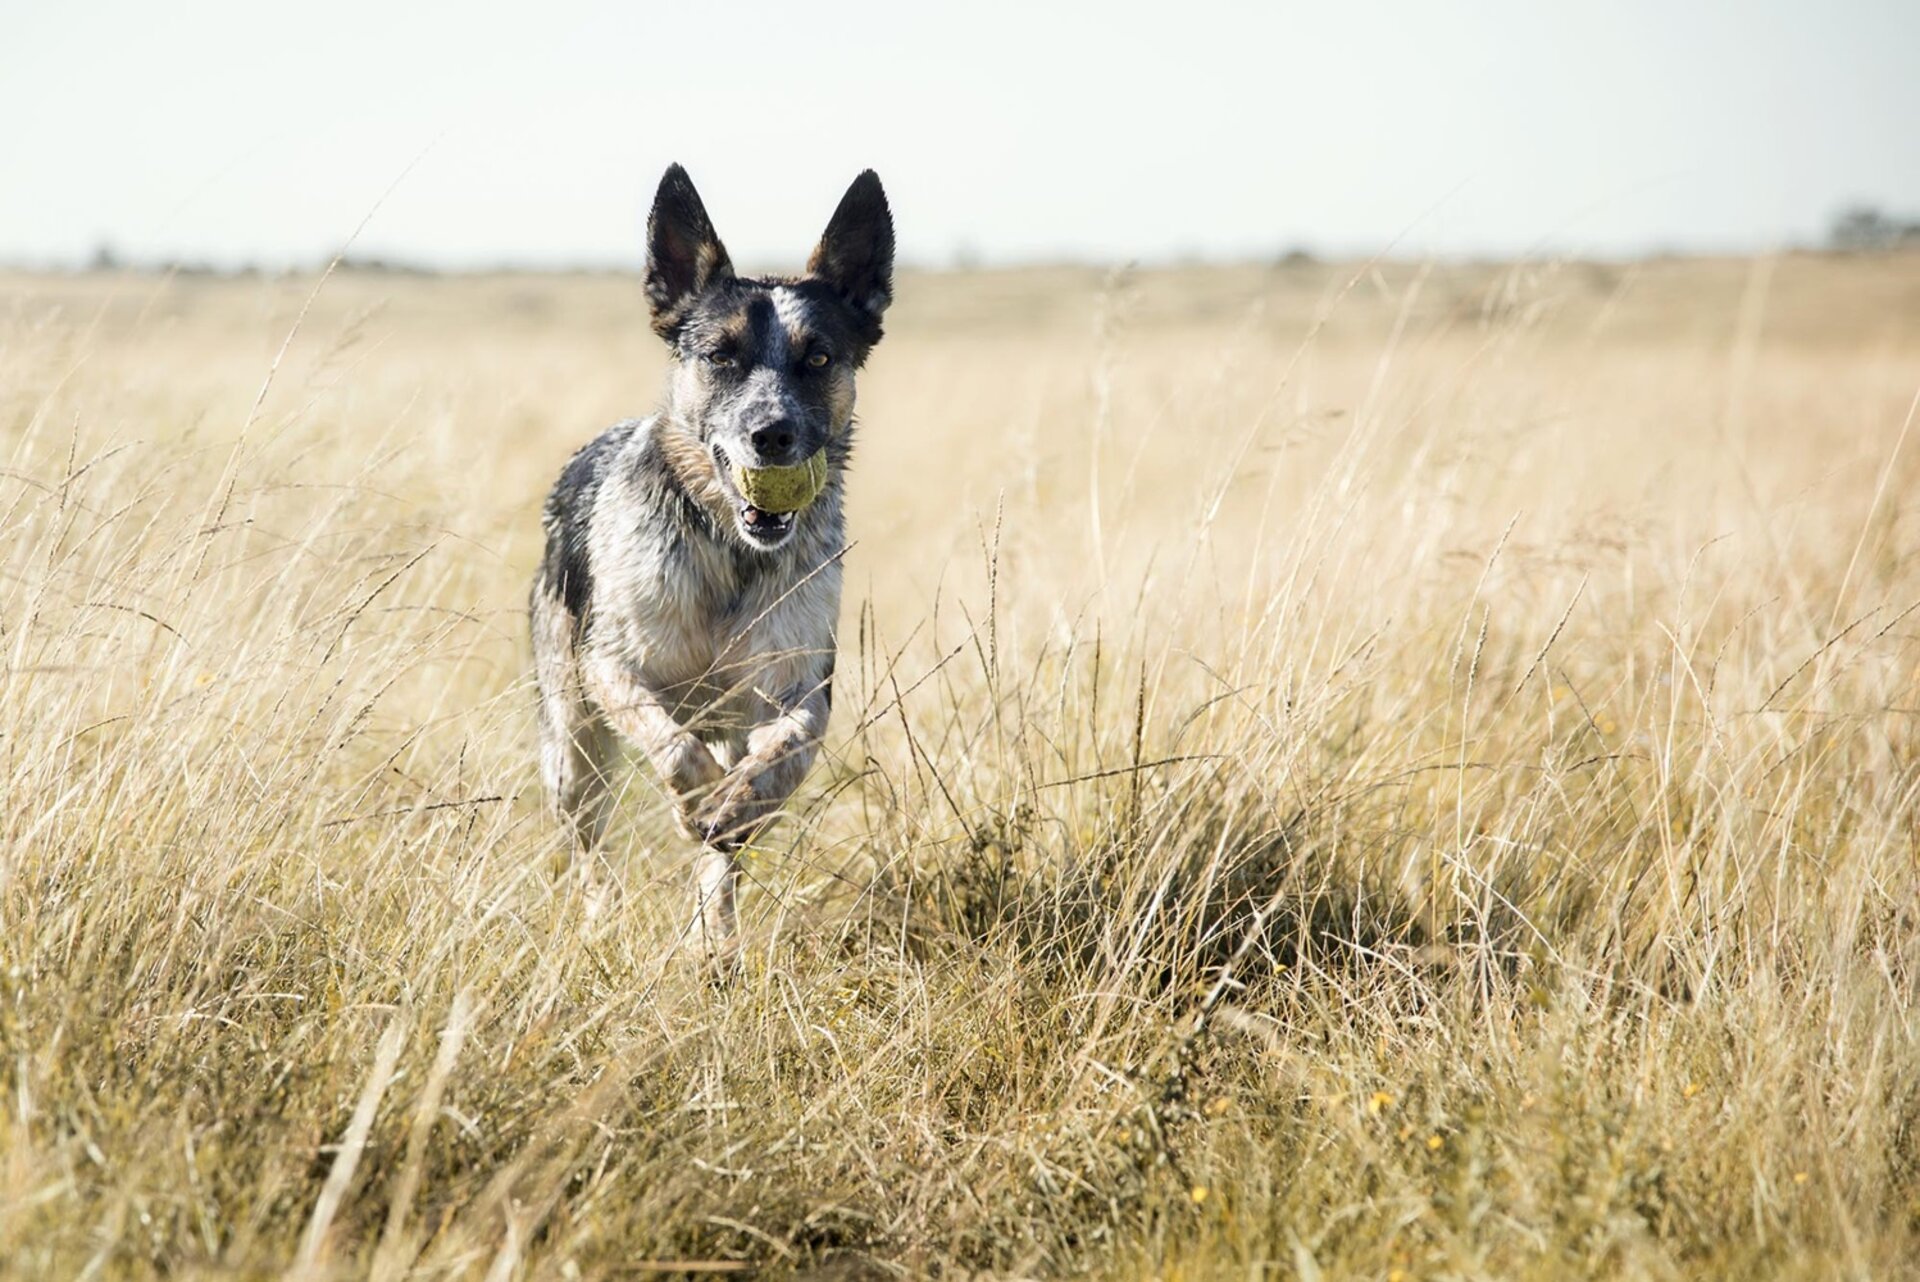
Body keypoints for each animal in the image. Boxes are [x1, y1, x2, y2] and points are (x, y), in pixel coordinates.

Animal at [529, 163, 894, 951]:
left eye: (819, 358)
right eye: (721, 356)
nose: (772, 434)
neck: (731, 553)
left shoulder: (798, 689)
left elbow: (784, 752)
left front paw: (738, 806)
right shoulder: (613, 668)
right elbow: (671, 746)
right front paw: (694, 799)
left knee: (719, 862)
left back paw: (714, 936)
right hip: (571, 746)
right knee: (588, 843)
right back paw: (602, 919)